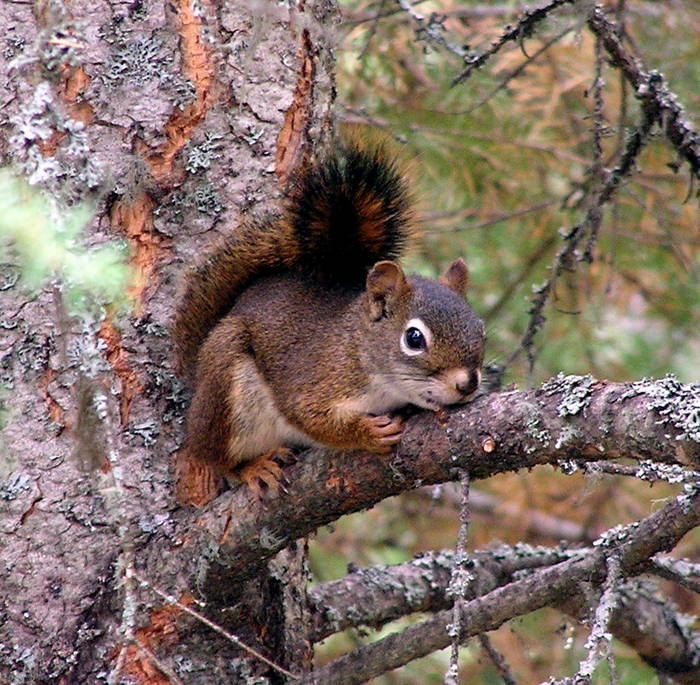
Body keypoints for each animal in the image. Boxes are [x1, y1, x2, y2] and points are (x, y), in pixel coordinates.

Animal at [172, 142, 484, 504]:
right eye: (414, 338)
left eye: (481, 329)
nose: (468, 384)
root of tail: (197, 372)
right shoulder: (314, 378)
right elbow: (309, 417)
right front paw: (366, 432)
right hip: (226, 384)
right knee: (213, 454)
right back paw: (252, 467)